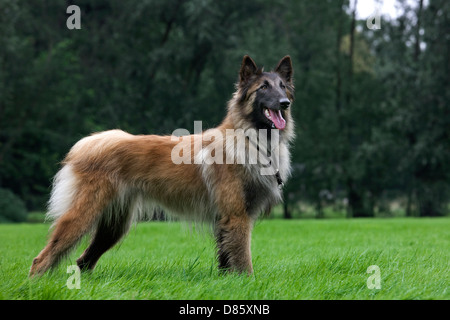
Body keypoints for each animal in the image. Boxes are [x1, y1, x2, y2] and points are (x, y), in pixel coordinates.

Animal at [29, 54, 296, 276]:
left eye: (282, 86)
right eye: (263, 87)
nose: (285, 103)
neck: (251, 140)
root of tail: (91, 143)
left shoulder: (225, 221)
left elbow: (225, 260)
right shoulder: (237, 217)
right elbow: (242, 261)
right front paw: (247, 283)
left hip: (113, 226)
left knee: (83, 261)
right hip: (83, 215)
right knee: (42, 258)